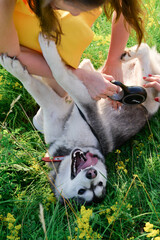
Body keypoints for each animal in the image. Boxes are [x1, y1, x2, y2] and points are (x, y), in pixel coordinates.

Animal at [0, 35, 159, 203]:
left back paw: (132, 55)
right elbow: (35, 84)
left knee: (146, 59)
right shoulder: (57, 111)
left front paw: (45, 49)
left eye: (97, 185)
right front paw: (16, 67)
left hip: (145, 87)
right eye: (82, 191)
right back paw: (127, 55)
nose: (91, 173)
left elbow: (58, 74)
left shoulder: (78, 102)